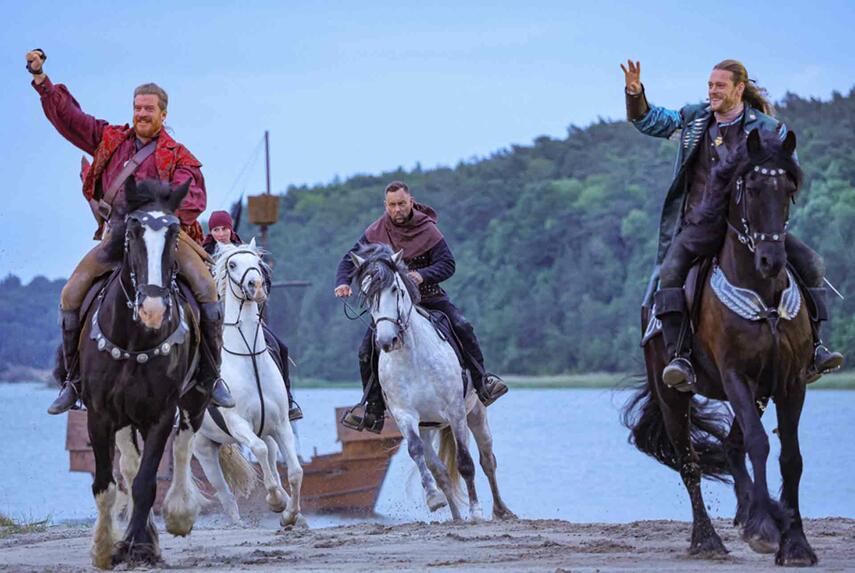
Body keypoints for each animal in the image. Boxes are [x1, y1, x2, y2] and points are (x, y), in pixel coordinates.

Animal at [56, 180, 209, 568]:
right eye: (133, 230)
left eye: (174, 232)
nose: (153, 308)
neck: (135, 338)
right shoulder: (100, 414)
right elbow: (107, 484)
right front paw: (104, 548)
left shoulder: (160, 414)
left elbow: (146, 483)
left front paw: (139, 547)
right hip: (125, 417)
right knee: (128, 464)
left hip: (194, 399)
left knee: (182, 446)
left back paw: (178, 514)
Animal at [192, 239, 306, 524]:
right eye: (232, 264)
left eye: (258, 262)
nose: (256, 286)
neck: (248, 357)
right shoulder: (238, 423)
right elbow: (259, 451)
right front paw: (276, 502)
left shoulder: (281, 424)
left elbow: (295, 471)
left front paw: (290, 514)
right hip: (202, 447)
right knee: (224, 493)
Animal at [350, 244, 516, 520]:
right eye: (365, 293)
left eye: (395, 289)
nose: (386, 340)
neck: (414, 358)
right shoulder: (406, 415)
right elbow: (417, 452)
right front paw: (433, 498)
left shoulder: (456, 412)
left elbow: (465, 462)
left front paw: (476, 512)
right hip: (428, 426)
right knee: (441, 471)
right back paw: (456, 517)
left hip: (476, 414)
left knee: (487, 460)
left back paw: (501, 511)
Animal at [624, 128, 820, 564]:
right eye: (751, 188)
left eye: (788, 190)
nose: (771, 260)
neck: (763, 294)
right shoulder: (735, 376)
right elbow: (759, 444)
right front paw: (764, 530)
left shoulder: (790, 381)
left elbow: (791, 457)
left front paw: (795, 542)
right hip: (672, 395)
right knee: (690, 463)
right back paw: (708, 539)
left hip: (759, 391)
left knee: (731, 448)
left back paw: (752, 512)